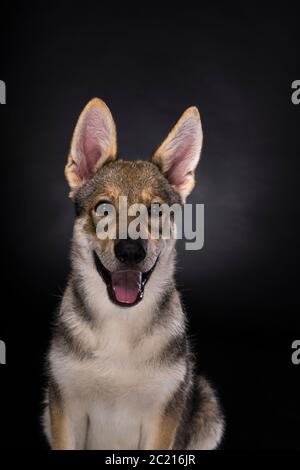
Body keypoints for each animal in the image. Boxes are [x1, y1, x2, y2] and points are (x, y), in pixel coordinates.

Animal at [43, 97, 224, 450]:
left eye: (155, 210)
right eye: (103, 208)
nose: (130, 251)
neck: (120, 324)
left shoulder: (161, 420)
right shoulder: (64, 410)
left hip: (207, 407)